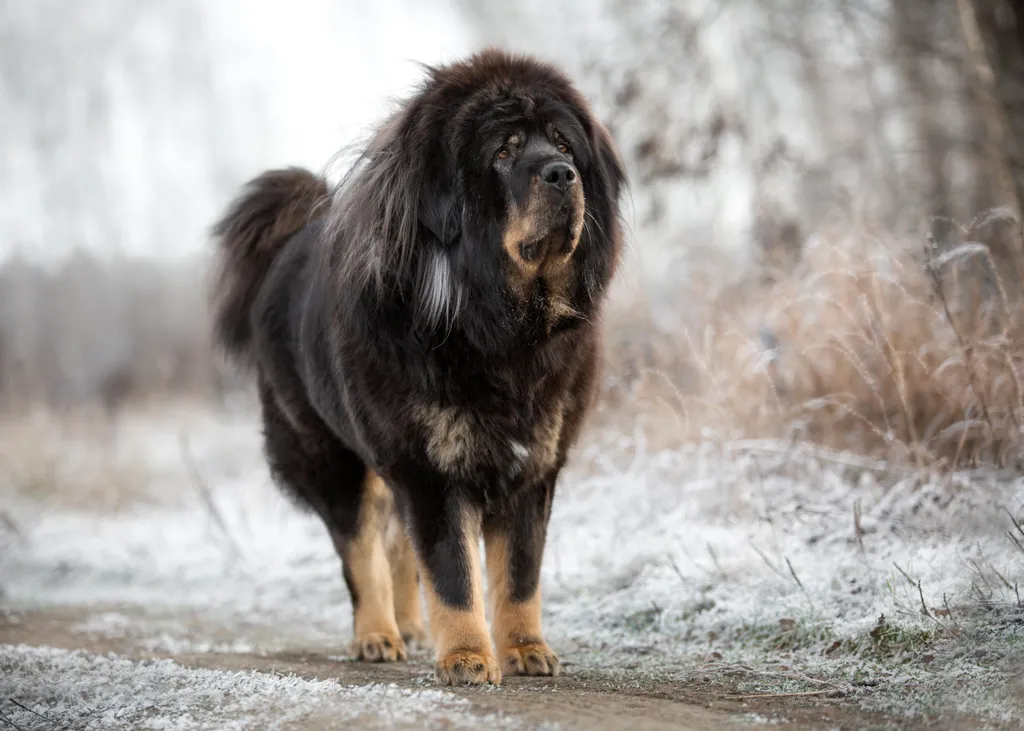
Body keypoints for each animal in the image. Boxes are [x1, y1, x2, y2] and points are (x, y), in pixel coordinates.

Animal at [207, 49, 622, 683]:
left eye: (563, 145)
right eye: (503, 151)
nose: (560, 175)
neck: (497, 328)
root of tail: (288, 242)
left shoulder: (533, 465)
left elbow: (519, 573)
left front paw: (525, 648)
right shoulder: (429, 467)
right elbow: (452, 573)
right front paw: (469, 657)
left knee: (399, 546)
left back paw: (408, 625)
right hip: (333, 459)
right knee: (361, 551)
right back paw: (377, 634)